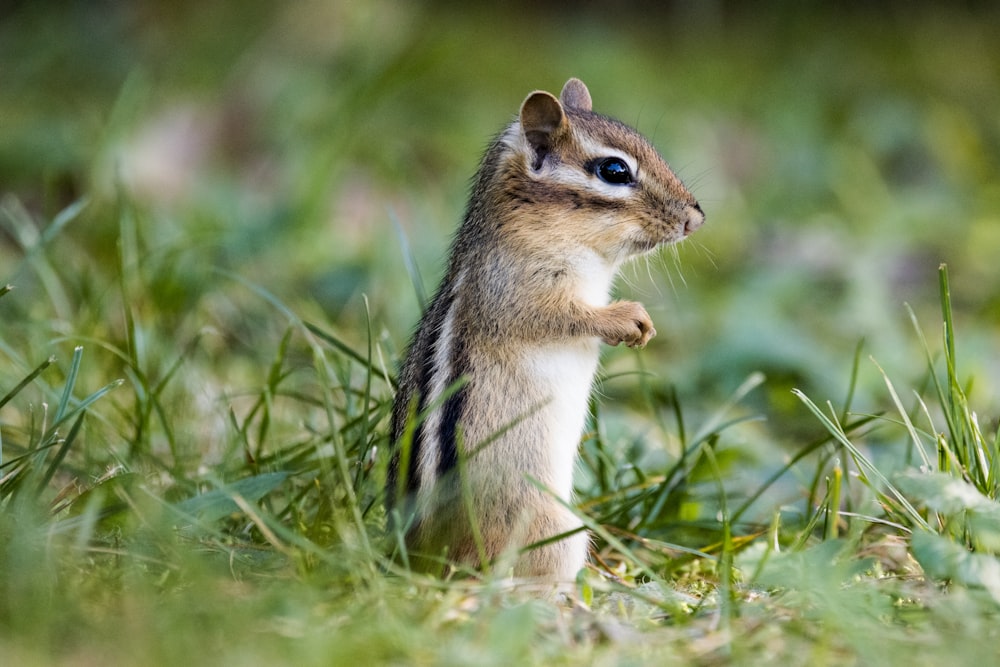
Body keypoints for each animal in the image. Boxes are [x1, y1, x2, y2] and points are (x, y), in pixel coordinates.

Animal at [386, 78, 708, 584]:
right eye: (614, 170)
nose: (695, 218)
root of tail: (425, 559)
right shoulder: (515, 287)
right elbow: (558, 315)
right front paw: (627, 318)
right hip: (555, 528)